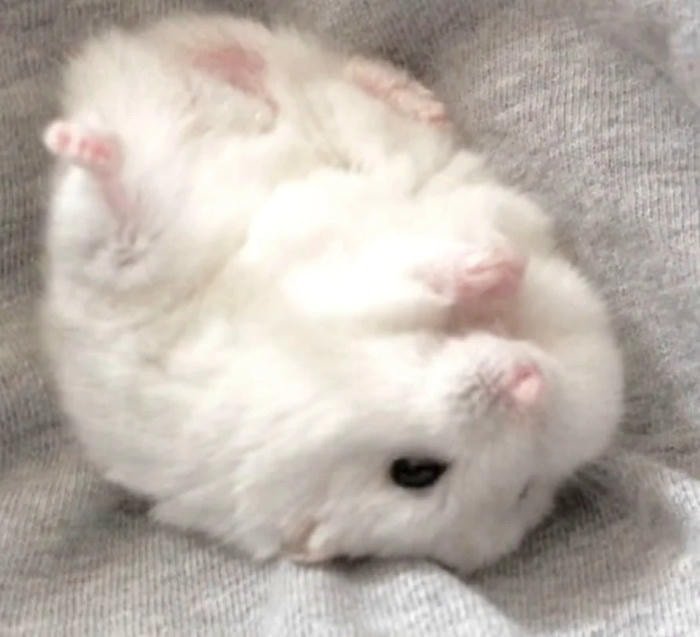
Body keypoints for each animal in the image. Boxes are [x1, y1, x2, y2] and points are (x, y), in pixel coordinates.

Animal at [40, 13, 624, 573]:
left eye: (525, 489)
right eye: (415, 472)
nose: (530, 383)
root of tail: (106, 68)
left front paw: (504, 273)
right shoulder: (333, 294)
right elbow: (409, 280)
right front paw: (498, 270)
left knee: (318, 72)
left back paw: (404, 99)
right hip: (128, 252)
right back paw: (87, 145)